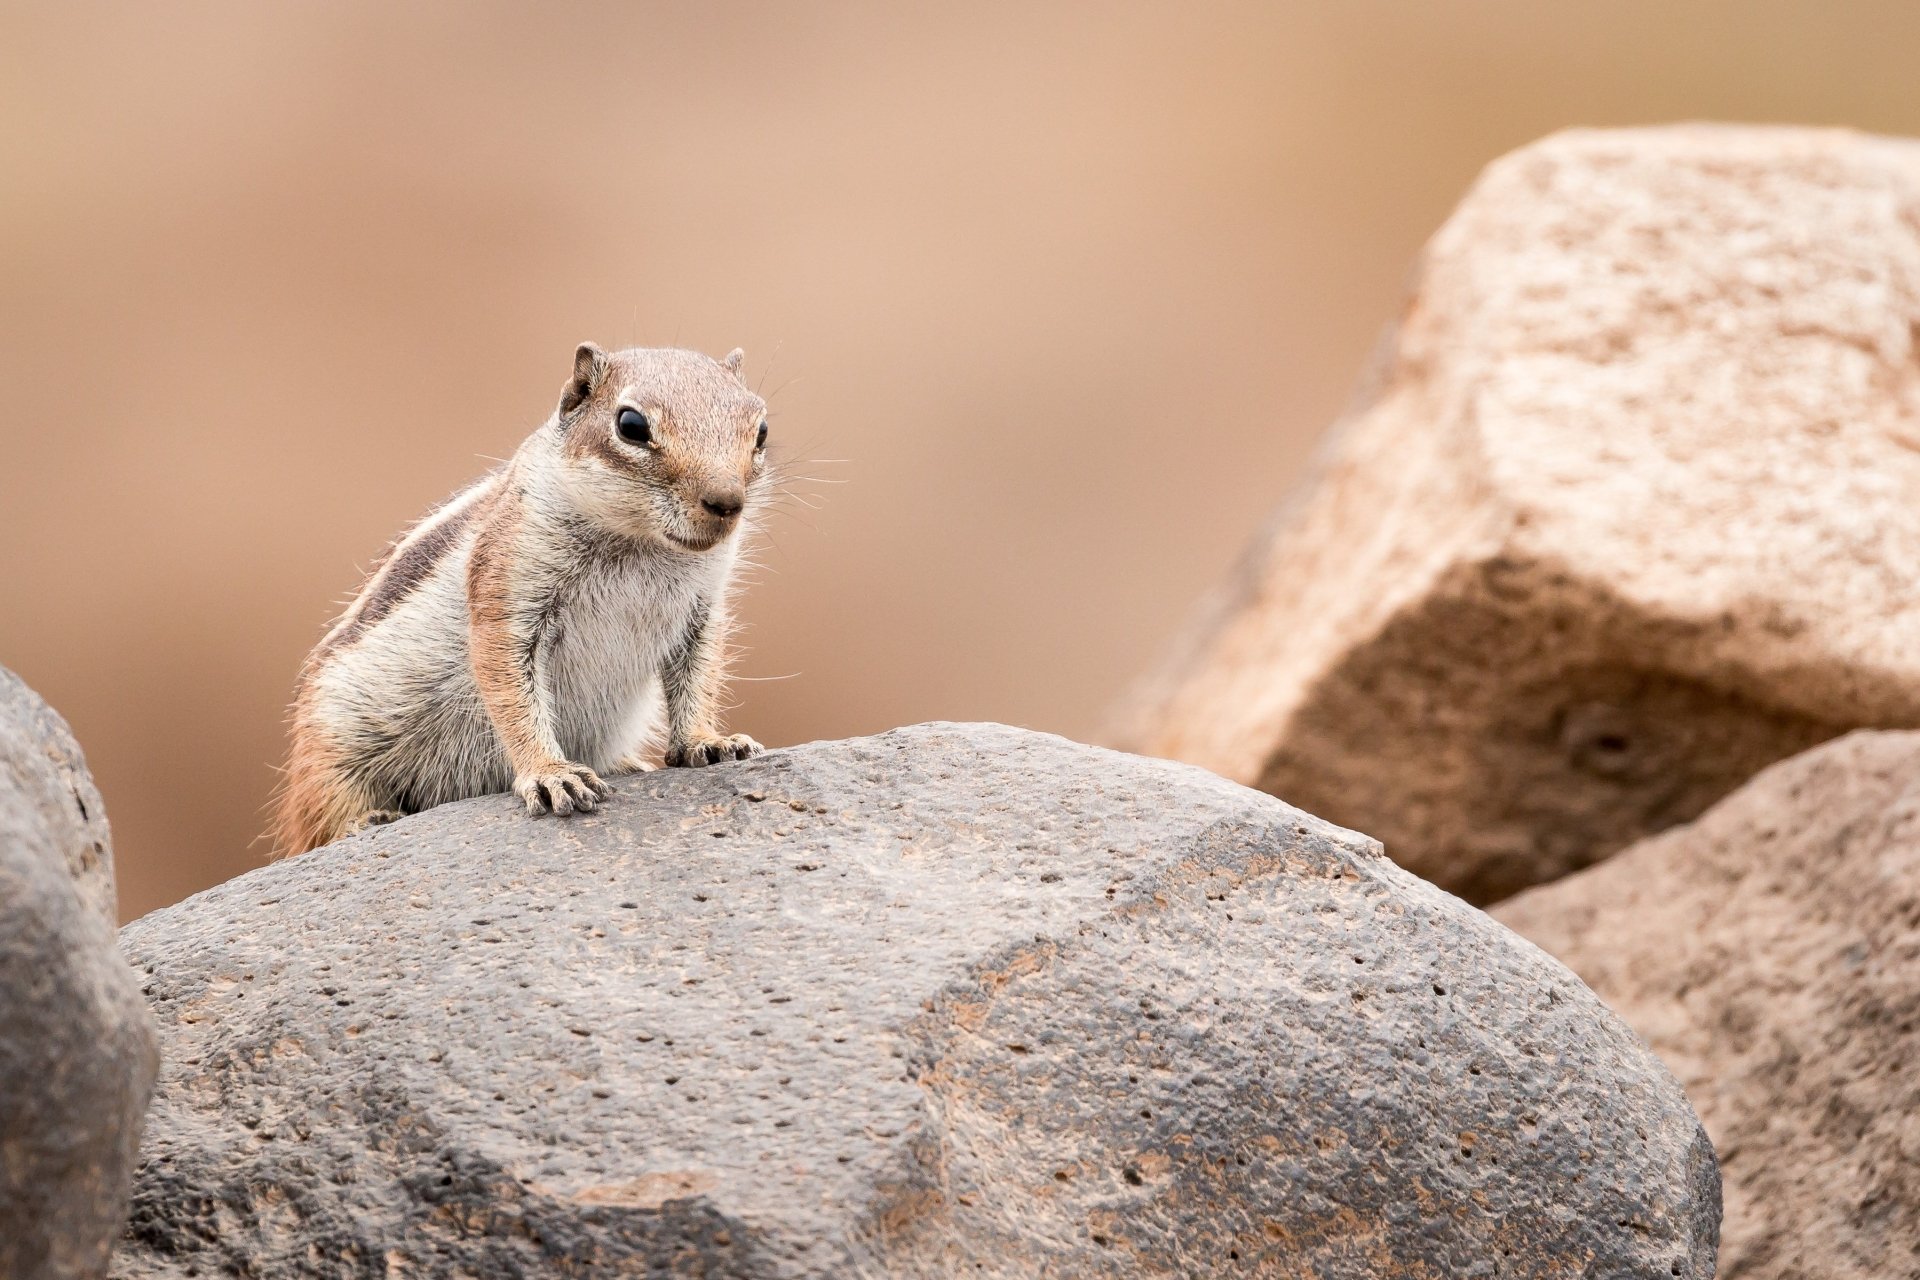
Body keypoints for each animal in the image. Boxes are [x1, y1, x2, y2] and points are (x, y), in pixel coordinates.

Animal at [272, 343, 770, 856]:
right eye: (630, 425)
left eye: (762, 430)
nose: (727, 502)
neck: (638, 542)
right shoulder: (509, 591)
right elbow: (511, 695)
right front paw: (552, 775)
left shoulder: (703, 610)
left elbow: (699, 675)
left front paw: (708, 741)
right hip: (332, 742)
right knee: (323, 813)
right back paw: (366, 820)